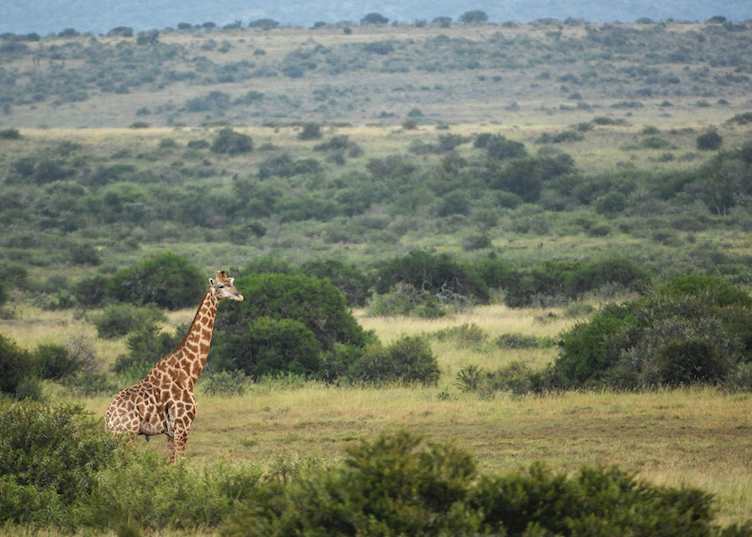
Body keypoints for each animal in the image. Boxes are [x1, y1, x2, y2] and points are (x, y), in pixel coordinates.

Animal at [105, 270, 243, 462]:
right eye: (221, 286)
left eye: (232, 282)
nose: (239, 295)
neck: (188, 373)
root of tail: (108, 419)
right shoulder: (182, 426)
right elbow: (180, 463)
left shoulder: (170, 432)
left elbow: (171, 463)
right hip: (126, 435)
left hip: (119, 437)